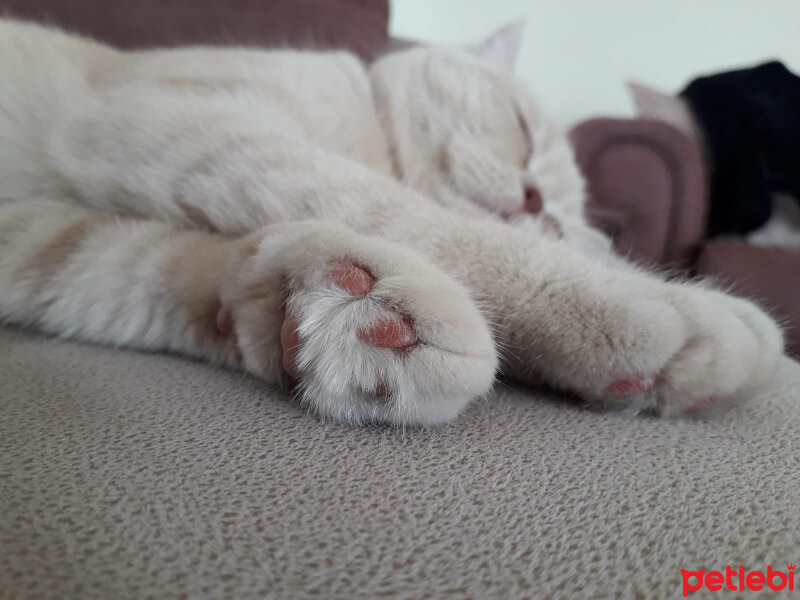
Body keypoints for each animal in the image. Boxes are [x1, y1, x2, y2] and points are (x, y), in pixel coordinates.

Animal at [0, 18, 784, 426]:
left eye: (560, 223)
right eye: (521, 129)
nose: (534, 201)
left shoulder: (42, 241)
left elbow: (159, 279)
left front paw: (315, 316)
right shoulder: (163, 124)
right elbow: (399, 209)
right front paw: (649, 301)